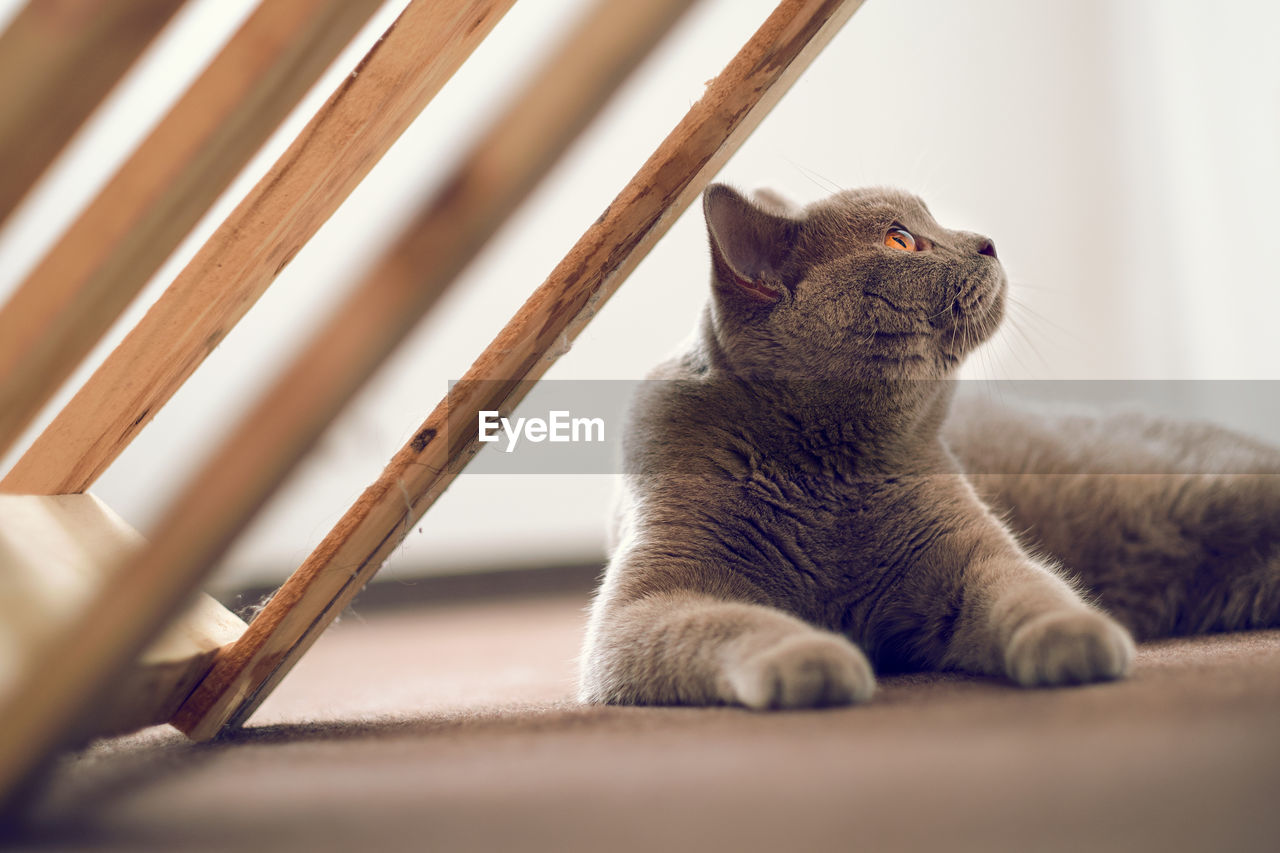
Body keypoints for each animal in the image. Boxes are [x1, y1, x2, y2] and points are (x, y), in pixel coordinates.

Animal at [581, 183, 1280, 706]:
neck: (834, 474)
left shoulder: (972, 552)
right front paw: (812, 657)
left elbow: (1029, 588)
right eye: (900, 240)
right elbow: (732, 623)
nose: (987, 242)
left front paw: (1075, 633)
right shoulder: (646, 605)